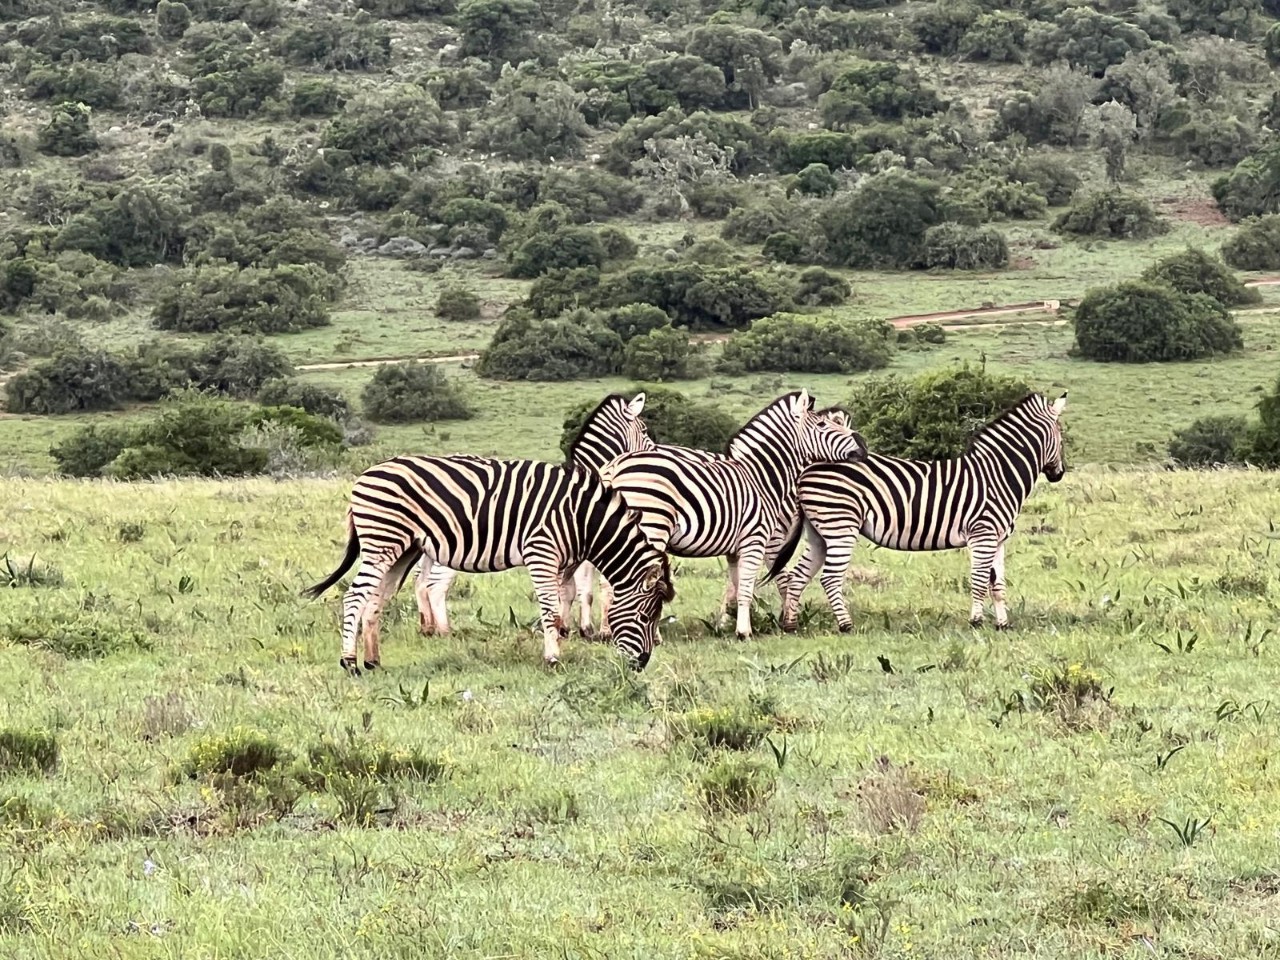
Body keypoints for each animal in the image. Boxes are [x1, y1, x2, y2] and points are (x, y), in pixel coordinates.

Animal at [302, 454, 676, 674]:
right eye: (646, 617)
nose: (641, 665)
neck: (584, 520)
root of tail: (365, 475)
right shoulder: (541, 551)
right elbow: (549, 610)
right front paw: (553, 658)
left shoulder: (561, 562)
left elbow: (561, 606)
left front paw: (562, 643)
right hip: (382, 540)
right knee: (354, 596)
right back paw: (350, 663)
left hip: (401, 549)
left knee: (375, 600)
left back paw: (373, 660)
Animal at [410, 393, 656, 639]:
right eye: (644, 429)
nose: (653, 452)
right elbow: (583, 591)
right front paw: (585, 629)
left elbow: (569, 590)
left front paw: (569, 628)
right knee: (435, 586)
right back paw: (445, 632)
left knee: (421, 583)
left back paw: (428, 628)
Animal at [593, 390, 867, 640]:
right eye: (822, 424)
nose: (863, 446)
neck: (761, 478)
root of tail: (615, 466)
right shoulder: (754, 540)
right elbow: (746, 589)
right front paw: (745, 632)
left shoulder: (734, 550)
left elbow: (736, 590)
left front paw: (729, 626)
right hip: (651, 526)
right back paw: (652, 636)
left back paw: (611, 632)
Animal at [767, 392, 1068, 632]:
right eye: (1061, 437)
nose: (1059, 474)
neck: (998, 475)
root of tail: (809, 467)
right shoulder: (982, 534)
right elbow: (979, 580)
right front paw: (976, 622)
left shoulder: (998, 539)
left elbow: (998, 584)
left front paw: (1003, 624)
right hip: (841, 526)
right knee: (830, 578)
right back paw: (846, 625)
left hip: (820, 533)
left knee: (799, 576)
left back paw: (790, 624)